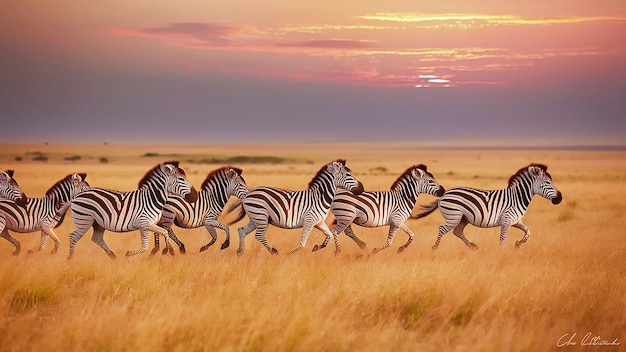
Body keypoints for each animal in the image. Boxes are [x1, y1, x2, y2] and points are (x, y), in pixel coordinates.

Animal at [67, 162, 196, 258]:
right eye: (181, 179)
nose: (195, 197)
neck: (151, 198)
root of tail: (78, 194)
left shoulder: (151, 223)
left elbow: (164, 232)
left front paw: (171, 251)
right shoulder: (144, 223)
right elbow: (145, 246)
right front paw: (129, 254)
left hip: (98, 223)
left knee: (96, 238)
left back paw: (113, 257)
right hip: (84, 220)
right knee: (73, 236)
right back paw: (70, 260)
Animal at [232, 160, 364, 256]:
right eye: (348, 175)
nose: (362, 188)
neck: (319, 198)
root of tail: (248, 194)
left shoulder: (319, 222)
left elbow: (330, 235)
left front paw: (318, 247)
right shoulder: (309, 221)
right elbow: (303, 243)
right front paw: (292, 254)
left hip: (255, 218)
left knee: (242, 230)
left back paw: (240, 252)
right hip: (260, 216)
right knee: (259, 235)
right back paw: (274, 251)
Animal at [316, 164, 444, 254]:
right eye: (431, 181)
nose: (443, 190)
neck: (403, 198)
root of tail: (337, 192)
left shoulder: (394, 223)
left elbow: (389, 242)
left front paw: (375, 251)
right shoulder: (398, 219)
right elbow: (412, 235)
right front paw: (400, 249)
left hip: (346, 216)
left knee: (345, 231)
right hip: (346, 215)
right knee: (334, 231)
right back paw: (336, 250)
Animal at [414, 163, 560, 250]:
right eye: (547, 182)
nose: (560, 198)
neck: (517, 197)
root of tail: (444, 194)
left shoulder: (516, 221)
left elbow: (528, 232)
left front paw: (518, 243)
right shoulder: (507, 221)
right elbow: (502, 239)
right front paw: (501, 252)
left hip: (463, 218)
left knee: (457, 231)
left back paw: (472, 246)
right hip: (453, 216)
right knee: (442, 229)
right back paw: (435, 248)